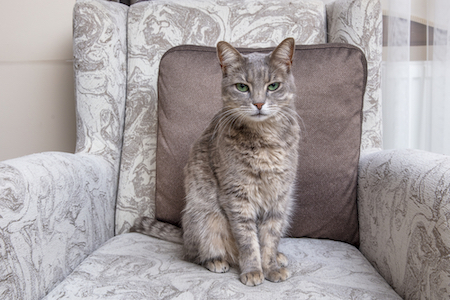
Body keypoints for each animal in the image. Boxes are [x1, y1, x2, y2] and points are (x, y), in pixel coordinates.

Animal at [130, 37, 298, 286]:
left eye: (273, 86)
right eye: (242, 87)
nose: (258, 104)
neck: (265, 140)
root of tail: (184, 233)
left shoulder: (279, 197)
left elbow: (269, 237)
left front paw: (271, 266)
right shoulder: (237, 196)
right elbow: (248, 240)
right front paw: (253, 270)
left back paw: (279, 256)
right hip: (206, 217)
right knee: (195, 253)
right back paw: (216, 261)